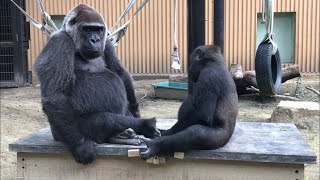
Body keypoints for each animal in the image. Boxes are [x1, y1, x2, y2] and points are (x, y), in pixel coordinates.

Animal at [34, 4, 159, 165]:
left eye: (98, 29)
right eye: (87, 29)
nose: (95, 40)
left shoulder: (107, 44)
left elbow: (120, 73)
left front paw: (136, 112)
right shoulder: (59, 42)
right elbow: (56, 94)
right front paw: (81, 146)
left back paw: (128, 132)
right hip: (59, 133)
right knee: (103, 119)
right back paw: (141, 127)